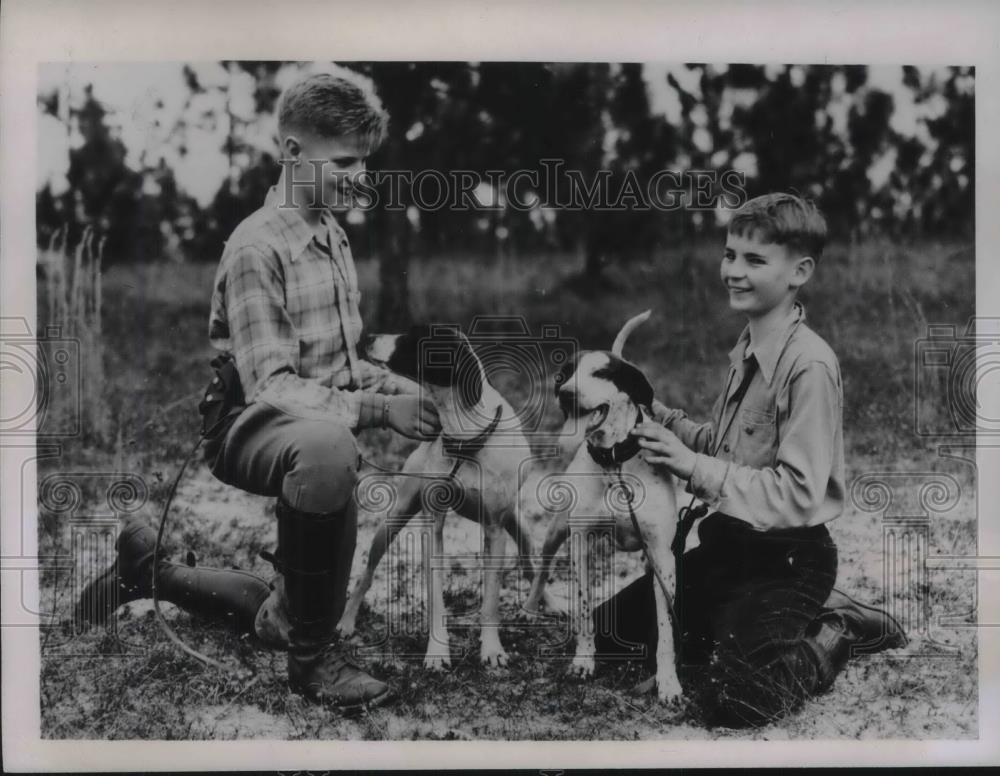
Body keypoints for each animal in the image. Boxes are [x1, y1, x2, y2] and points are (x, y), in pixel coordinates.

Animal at [338, 324, 540, 668]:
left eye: (413, 338)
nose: (366, 337)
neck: (464, 437)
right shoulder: (432, 526)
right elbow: (435, 598)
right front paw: (436, 652)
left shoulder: (495, 531)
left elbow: (490, 601)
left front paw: (491, 649)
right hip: (392, 522)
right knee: (367, 574)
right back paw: (347, 620)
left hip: (519, 526)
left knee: (530, 563)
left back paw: (538, 606)